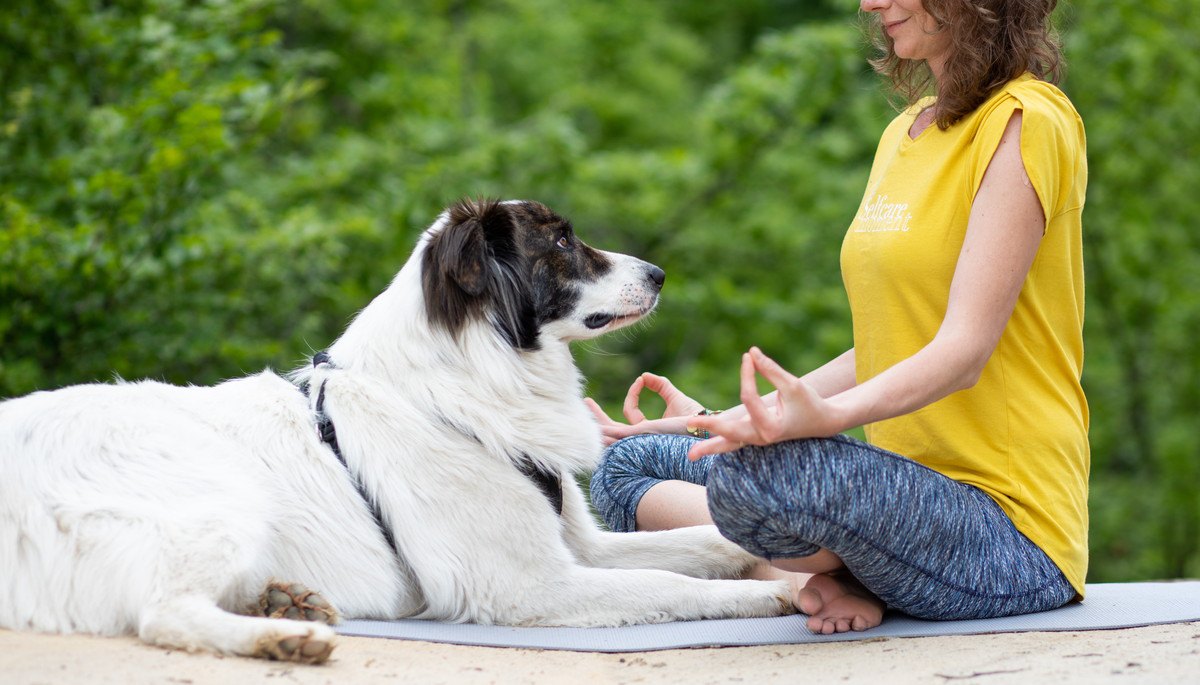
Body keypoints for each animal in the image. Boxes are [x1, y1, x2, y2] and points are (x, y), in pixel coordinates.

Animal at [2, 199, 796, 667]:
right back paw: (283, 635)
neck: (460, 389)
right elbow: (671, 582)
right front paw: (770, 598)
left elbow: (701, 543)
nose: (660, 274)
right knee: (163, 614)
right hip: (221, 499)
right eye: (564, 242)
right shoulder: (531, 587)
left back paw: (285, 603)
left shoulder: (583, 546)